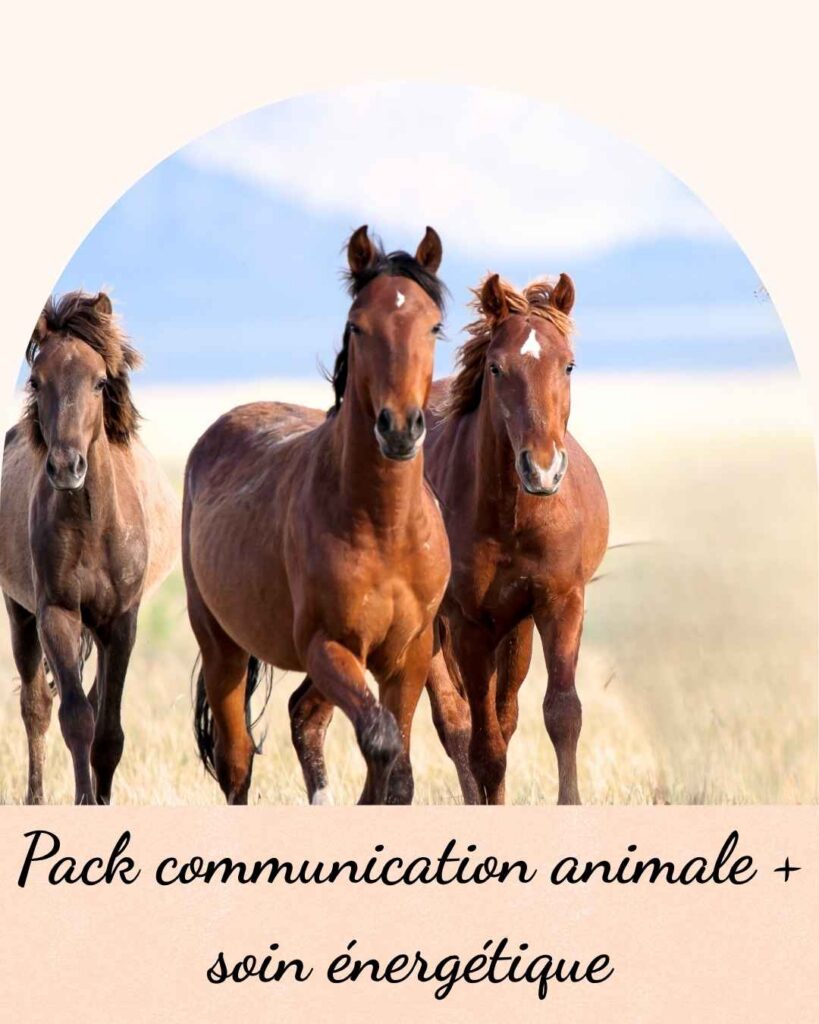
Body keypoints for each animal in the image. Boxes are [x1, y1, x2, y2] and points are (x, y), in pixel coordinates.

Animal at [0, 291, 180, 804]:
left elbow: (108, 729)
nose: (66, 467)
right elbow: (75, 718)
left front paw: (102, 797)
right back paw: (35, 797)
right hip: (19, 614)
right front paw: (84, 800)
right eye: (36, 380)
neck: (92, 525)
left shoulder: (121, 622)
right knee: (36, 706)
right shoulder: (56, 613)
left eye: (100, 382)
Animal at [185, 226, 450, 805]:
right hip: (222, 648)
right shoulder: (328, 646)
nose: (400, 428)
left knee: (304, 716)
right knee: (237, 761)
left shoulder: (409, 656)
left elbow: (396, 766)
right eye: (357, 325)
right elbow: (382, 743)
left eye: (434, 327)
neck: (384, 527)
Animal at [288, 272, 608, 806]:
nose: (542, 468)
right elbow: (483, 746)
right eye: (497, 368)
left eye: (568, 365)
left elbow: (562, 714)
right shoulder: (468, 625)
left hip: (509, 630)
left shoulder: (560, 603)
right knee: (451, 724)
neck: (512, 517)